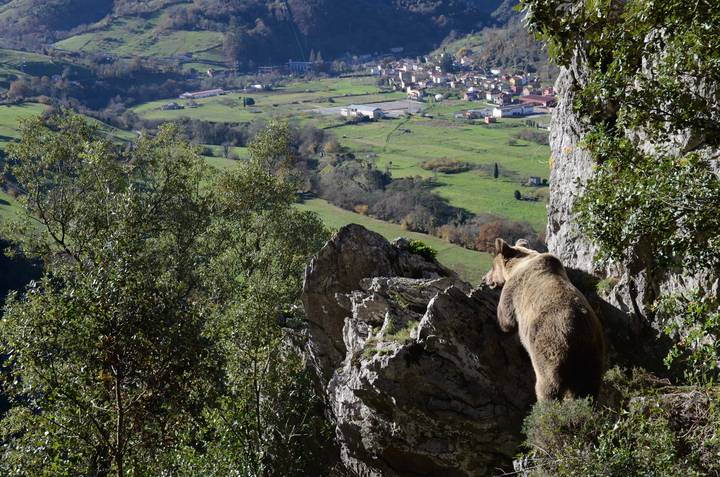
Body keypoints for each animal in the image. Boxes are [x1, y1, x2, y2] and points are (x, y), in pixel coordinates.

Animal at [484, 237, 608, 398]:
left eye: (492, 267)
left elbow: (507, 319)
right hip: (593, 357)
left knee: (548, 382)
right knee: (588, 388)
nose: (486, 279)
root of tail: (580, 336)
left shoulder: (514, 290)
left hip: (550, 344)